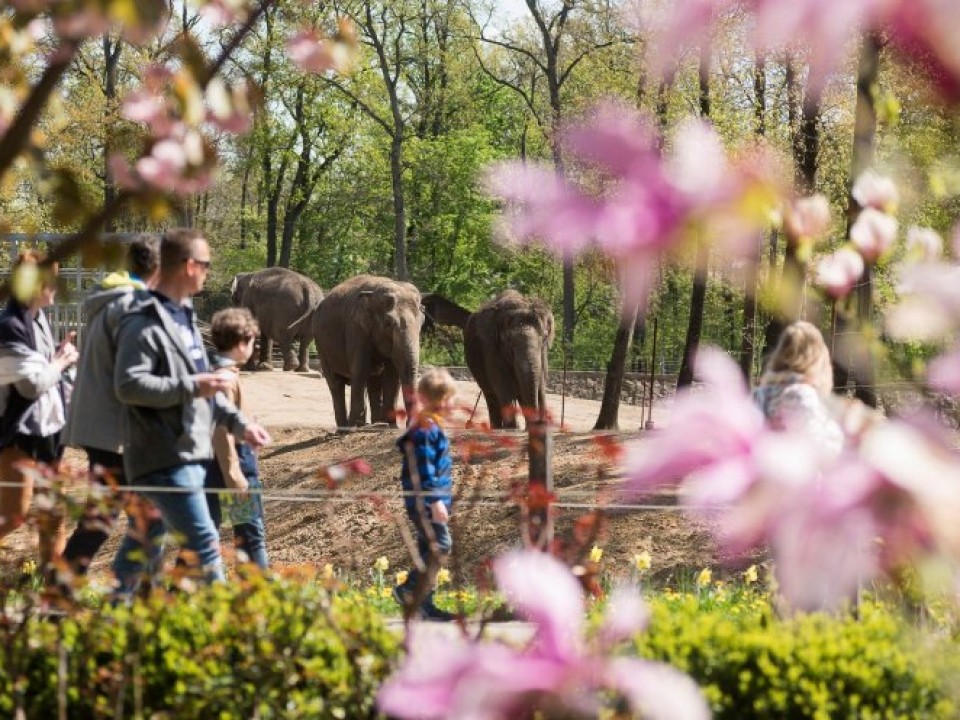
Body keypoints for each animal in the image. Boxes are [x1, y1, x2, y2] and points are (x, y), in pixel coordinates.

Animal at [314, 274, 422, 428]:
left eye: (422, 323)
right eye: (388, 323)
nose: (409, 425)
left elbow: (392, 375)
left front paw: (391, 426)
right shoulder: (356, 328)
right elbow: (360, 369)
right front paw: (356, 426)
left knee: (373, 383)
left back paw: (375, 423)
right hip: (321, 344)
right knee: (335, 382)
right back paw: (347, 427)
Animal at [464, 290, 556, 430]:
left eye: (544, 338)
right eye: (508, 341)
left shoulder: (543, 352)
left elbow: (540, 382)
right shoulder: (490, 347)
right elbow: (503, 383)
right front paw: (513, 428)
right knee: (491, 395)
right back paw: (499, 428)